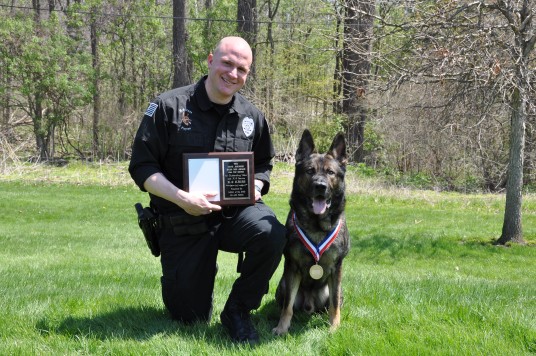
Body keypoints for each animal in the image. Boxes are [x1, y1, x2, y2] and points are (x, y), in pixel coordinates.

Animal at [272, 129, 352, 336]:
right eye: (310, 171)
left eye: (330, 172)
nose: (320, 186)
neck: (316, 226)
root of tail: (309, 306)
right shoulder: (292, 268)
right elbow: (287, 307)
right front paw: (282, 328)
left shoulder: (336, 269)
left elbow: (334, 304)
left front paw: (334, 327)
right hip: (283, 285)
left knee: (332, 302)